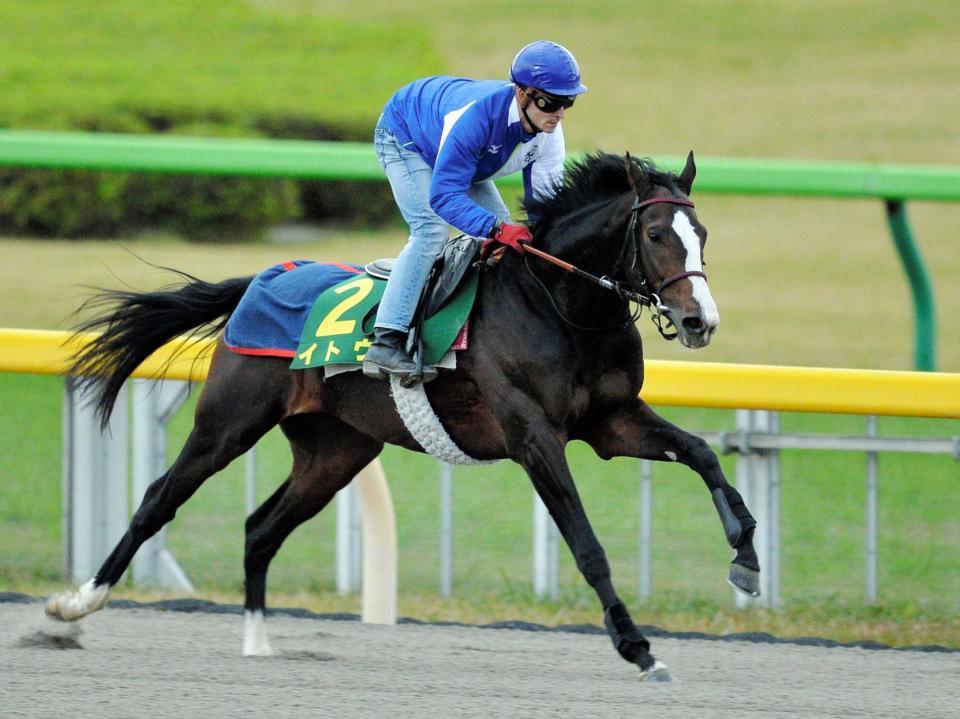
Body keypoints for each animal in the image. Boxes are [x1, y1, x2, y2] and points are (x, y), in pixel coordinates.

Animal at [48, 150, 756, 680]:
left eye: (703, 236)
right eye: (656, 235)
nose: (700, 321)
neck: (558, 303)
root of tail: (262, 279)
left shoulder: (612, 420)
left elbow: (701, 452)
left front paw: (745, 554)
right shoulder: (533, 437)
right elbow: (588, 545)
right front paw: (637, 646)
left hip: (335, 451)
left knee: (259, 529)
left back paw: (257, 641)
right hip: (227, 423)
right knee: (158, 500)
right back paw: (75, 604)